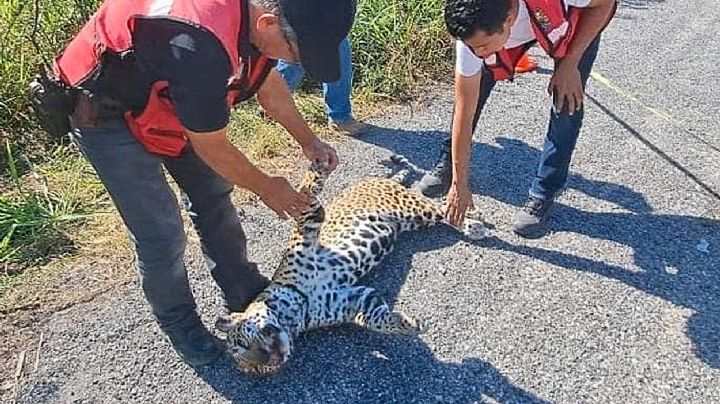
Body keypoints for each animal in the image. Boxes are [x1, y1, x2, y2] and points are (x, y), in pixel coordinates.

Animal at [216, 155, 487, 374]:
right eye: (255, 369)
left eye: (242, 342)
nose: (269, 359)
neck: (294, 310)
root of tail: (378, 179)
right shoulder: (356, 299)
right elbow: (376, 319)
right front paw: (406, 324)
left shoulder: (309, 224)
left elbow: (305, 190)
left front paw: (318, 164)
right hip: (410, 221)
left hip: (412, 208)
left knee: (441, 208)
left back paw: (474, 222)